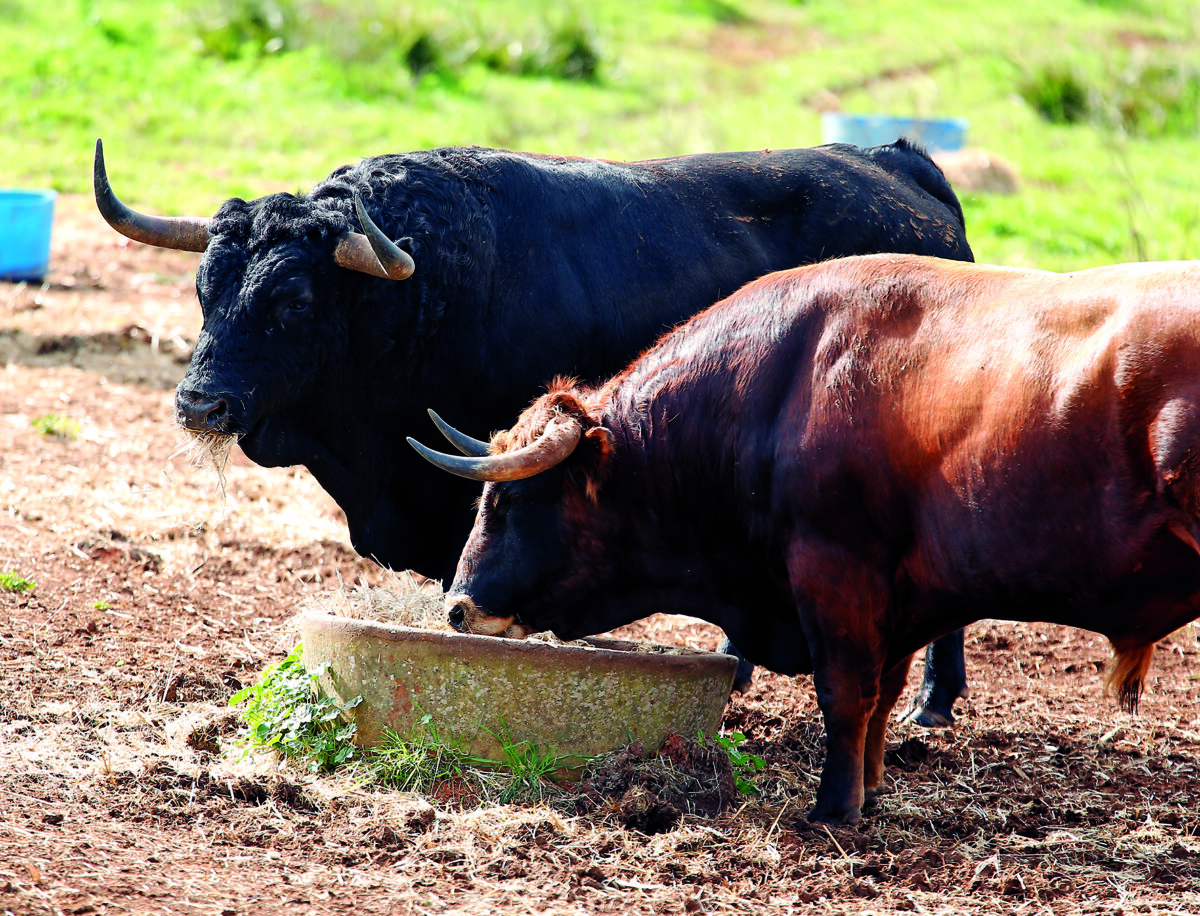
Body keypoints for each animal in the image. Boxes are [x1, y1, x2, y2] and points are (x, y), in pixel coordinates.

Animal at [93, 137, 974, 719]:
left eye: (294, 301)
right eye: (204, 289)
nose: (200, 403)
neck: (419, 295)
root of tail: (896, 163)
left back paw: (932, 701)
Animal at [411, 254, 1200, 824]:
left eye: (513, 497)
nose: (459, 606)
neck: (776, 388)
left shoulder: (834, 572)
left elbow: (846, 694)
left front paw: (833, 809)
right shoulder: (900, 595)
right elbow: (881, 696)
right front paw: (870, 792)